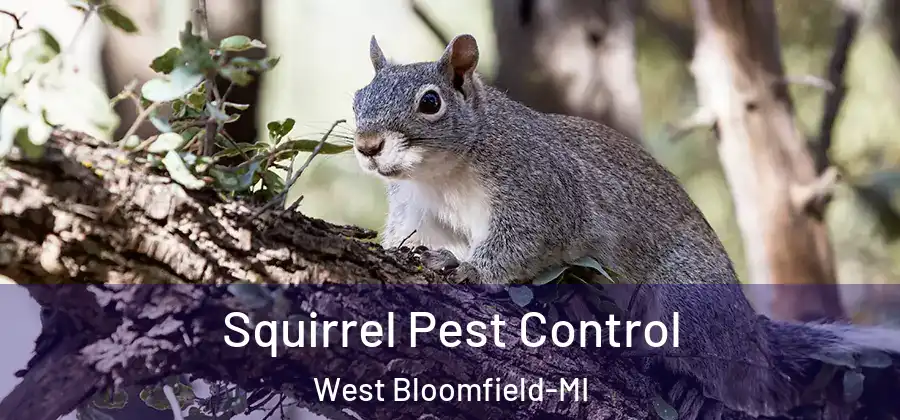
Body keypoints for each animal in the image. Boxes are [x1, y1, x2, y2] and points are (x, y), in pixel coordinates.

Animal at [351, 34, 900, 418]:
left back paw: (701, 392)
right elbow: (410, 237)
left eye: (430, 103)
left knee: (744, 384)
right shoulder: (419, 211)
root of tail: (750, 332)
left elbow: (524, 241)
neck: (442, 173)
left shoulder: (542, 191)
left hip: (688, 302)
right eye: (358, 96)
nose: (366, 145)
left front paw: (469, 269)